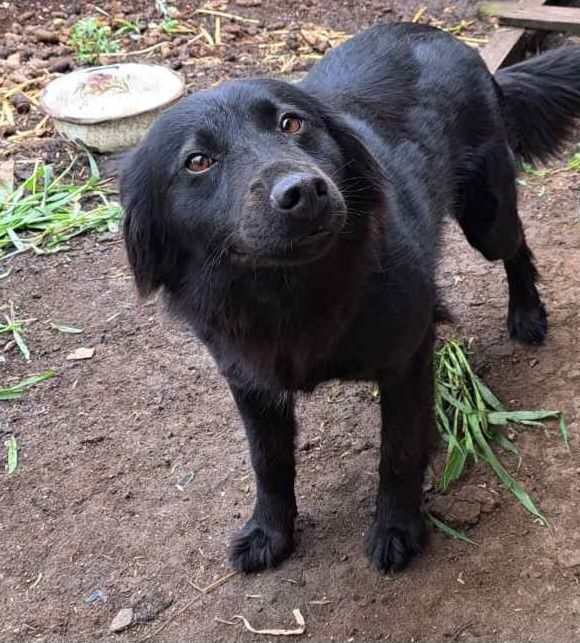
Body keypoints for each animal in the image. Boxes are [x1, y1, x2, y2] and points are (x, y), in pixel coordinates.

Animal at [121, 25, 580, 572]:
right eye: (197, 162)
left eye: (292, 123)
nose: (303, 191)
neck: (289, 292)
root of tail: (445, 38)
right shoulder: (247, 378)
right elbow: (268, 461)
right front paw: (269, 532)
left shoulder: (407, 359)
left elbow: (399, 453)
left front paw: (397, 529)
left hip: (487, 219)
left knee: (517, 244)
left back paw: (527, 313)